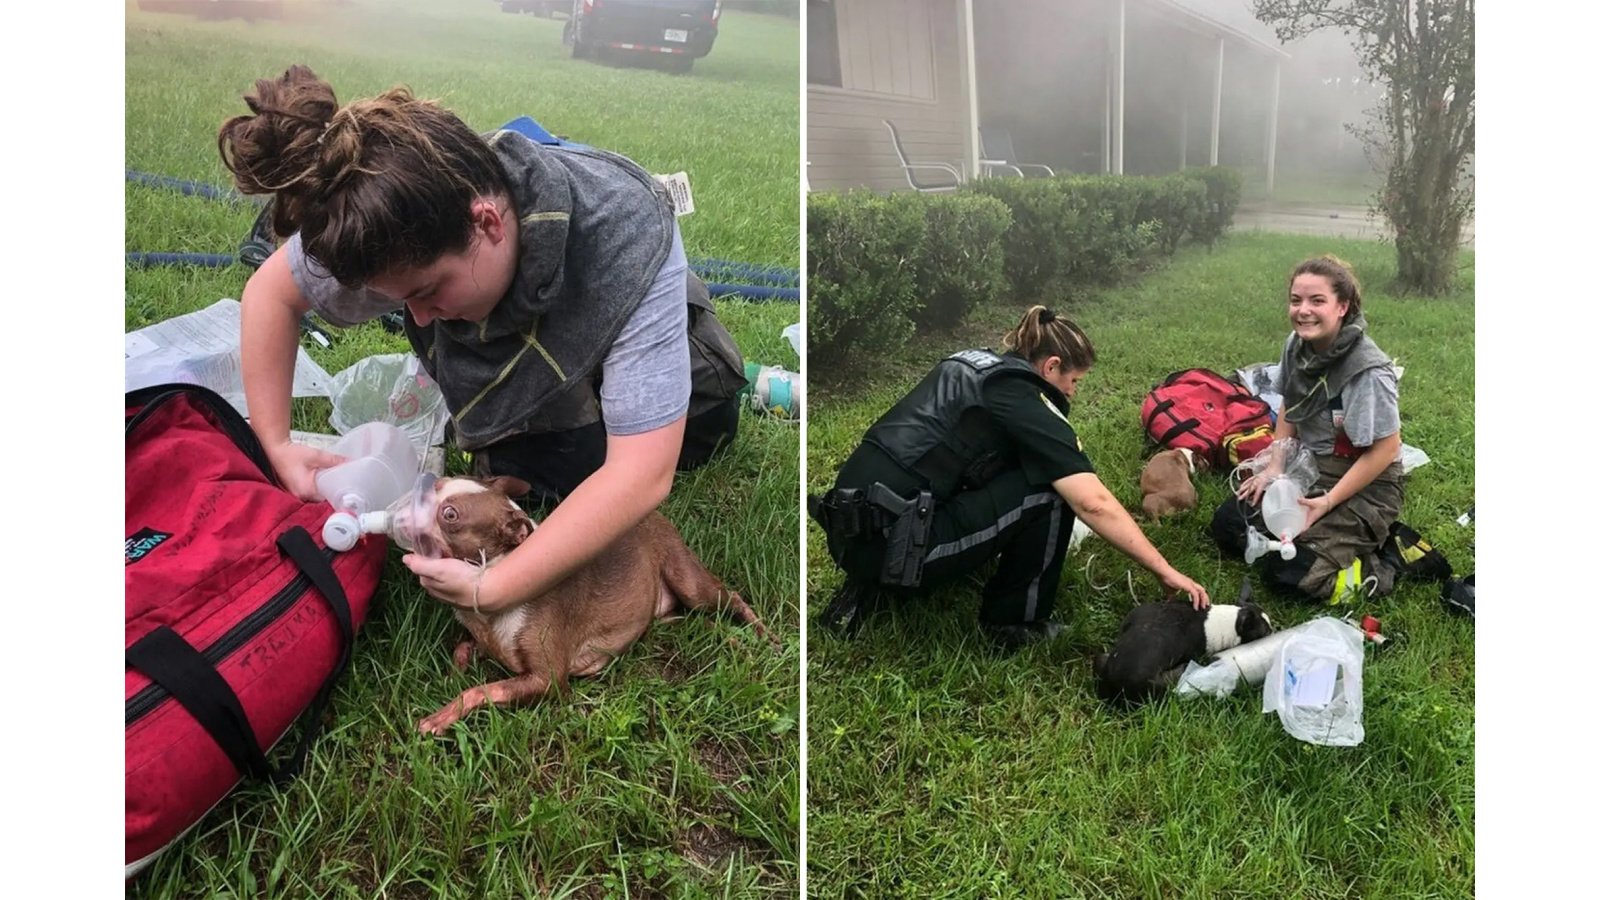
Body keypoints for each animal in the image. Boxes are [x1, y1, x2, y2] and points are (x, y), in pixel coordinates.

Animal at [406, 474, 768, 733]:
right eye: (439, 484)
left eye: (449, 515)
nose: (421, 490)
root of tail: (653, 514)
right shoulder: (487, 642)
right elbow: (462, 650)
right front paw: (453, 675)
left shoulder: (548, 681)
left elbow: (480, 690)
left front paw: (442, 715)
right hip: (667, 615)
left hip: (689, 582)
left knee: (731, 598)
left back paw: (764, 637)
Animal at [1094, 582, 1267, 707]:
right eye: (1264, 633)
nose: (1272, 633)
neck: (1233, 621)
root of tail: (1114, 681)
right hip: (1170, 677)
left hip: (1102, 658)